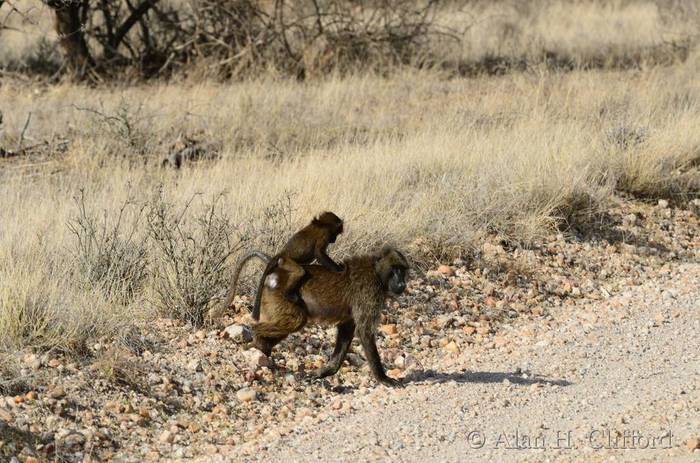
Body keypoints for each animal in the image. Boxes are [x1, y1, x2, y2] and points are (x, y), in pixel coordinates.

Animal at [253, 245, 409, 388]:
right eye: (395, 269)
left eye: (402, 270)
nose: (402, 283)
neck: (375, 271)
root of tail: (276, 272)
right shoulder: (369, 291)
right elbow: (364, 332)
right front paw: (383, 378)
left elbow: (347, 330)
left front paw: (323, 372)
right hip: (282, 296)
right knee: (295, 321)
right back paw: (254, 336)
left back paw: (262, 349)